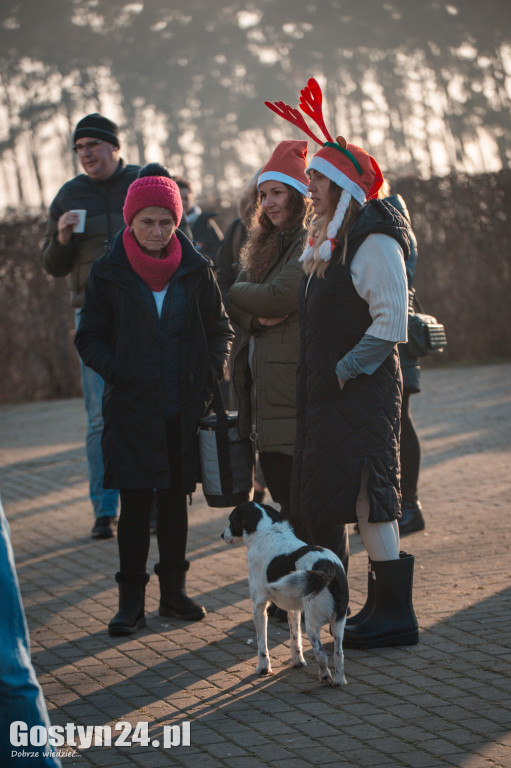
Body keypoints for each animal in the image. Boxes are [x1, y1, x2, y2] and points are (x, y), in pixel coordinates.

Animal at [222, 500, 350, 688]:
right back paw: (339, 681)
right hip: (339, 621)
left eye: (231, 520)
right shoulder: (294, 609)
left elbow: (262, 644)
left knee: (322, 655)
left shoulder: (259, 606)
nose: (221, 535)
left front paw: (263, 669)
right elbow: (295, 638)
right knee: (339, 653)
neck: (267, 532)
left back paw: (325, 677)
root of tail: (328, 568)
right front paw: (297, 662)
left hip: (312, 624)